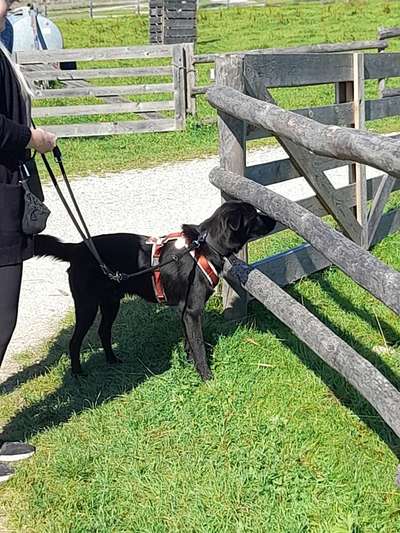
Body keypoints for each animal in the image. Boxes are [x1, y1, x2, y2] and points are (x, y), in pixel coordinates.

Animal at [34, 200, 276, 378]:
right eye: (254, 215)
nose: (273, 218)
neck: (206, 245)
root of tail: (77, 248)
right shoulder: (192, 311)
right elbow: (198, 346)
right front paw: (206, 376)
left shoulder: (184, 311)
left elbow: (189, 342)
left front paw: (189, 362)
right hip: (87, 305)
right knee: (74, 341)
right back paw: (77, 373)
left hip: (111, 302)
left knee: (103, 331)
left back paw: (112, 360)